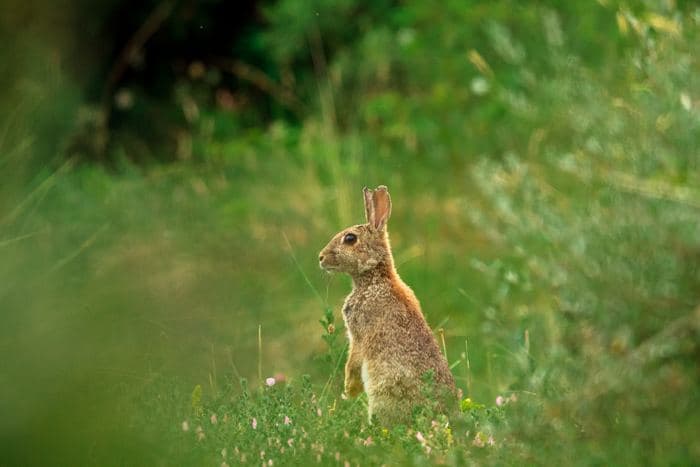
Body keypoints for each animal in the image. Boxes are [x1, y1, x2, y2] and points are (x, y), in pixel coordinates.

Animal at [319, 185, 456, 425]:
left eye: (350, 238)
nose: (320, 257)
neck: (375, 277)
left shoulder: (359, 334)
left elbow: (353, 361)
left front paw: (349, 390)